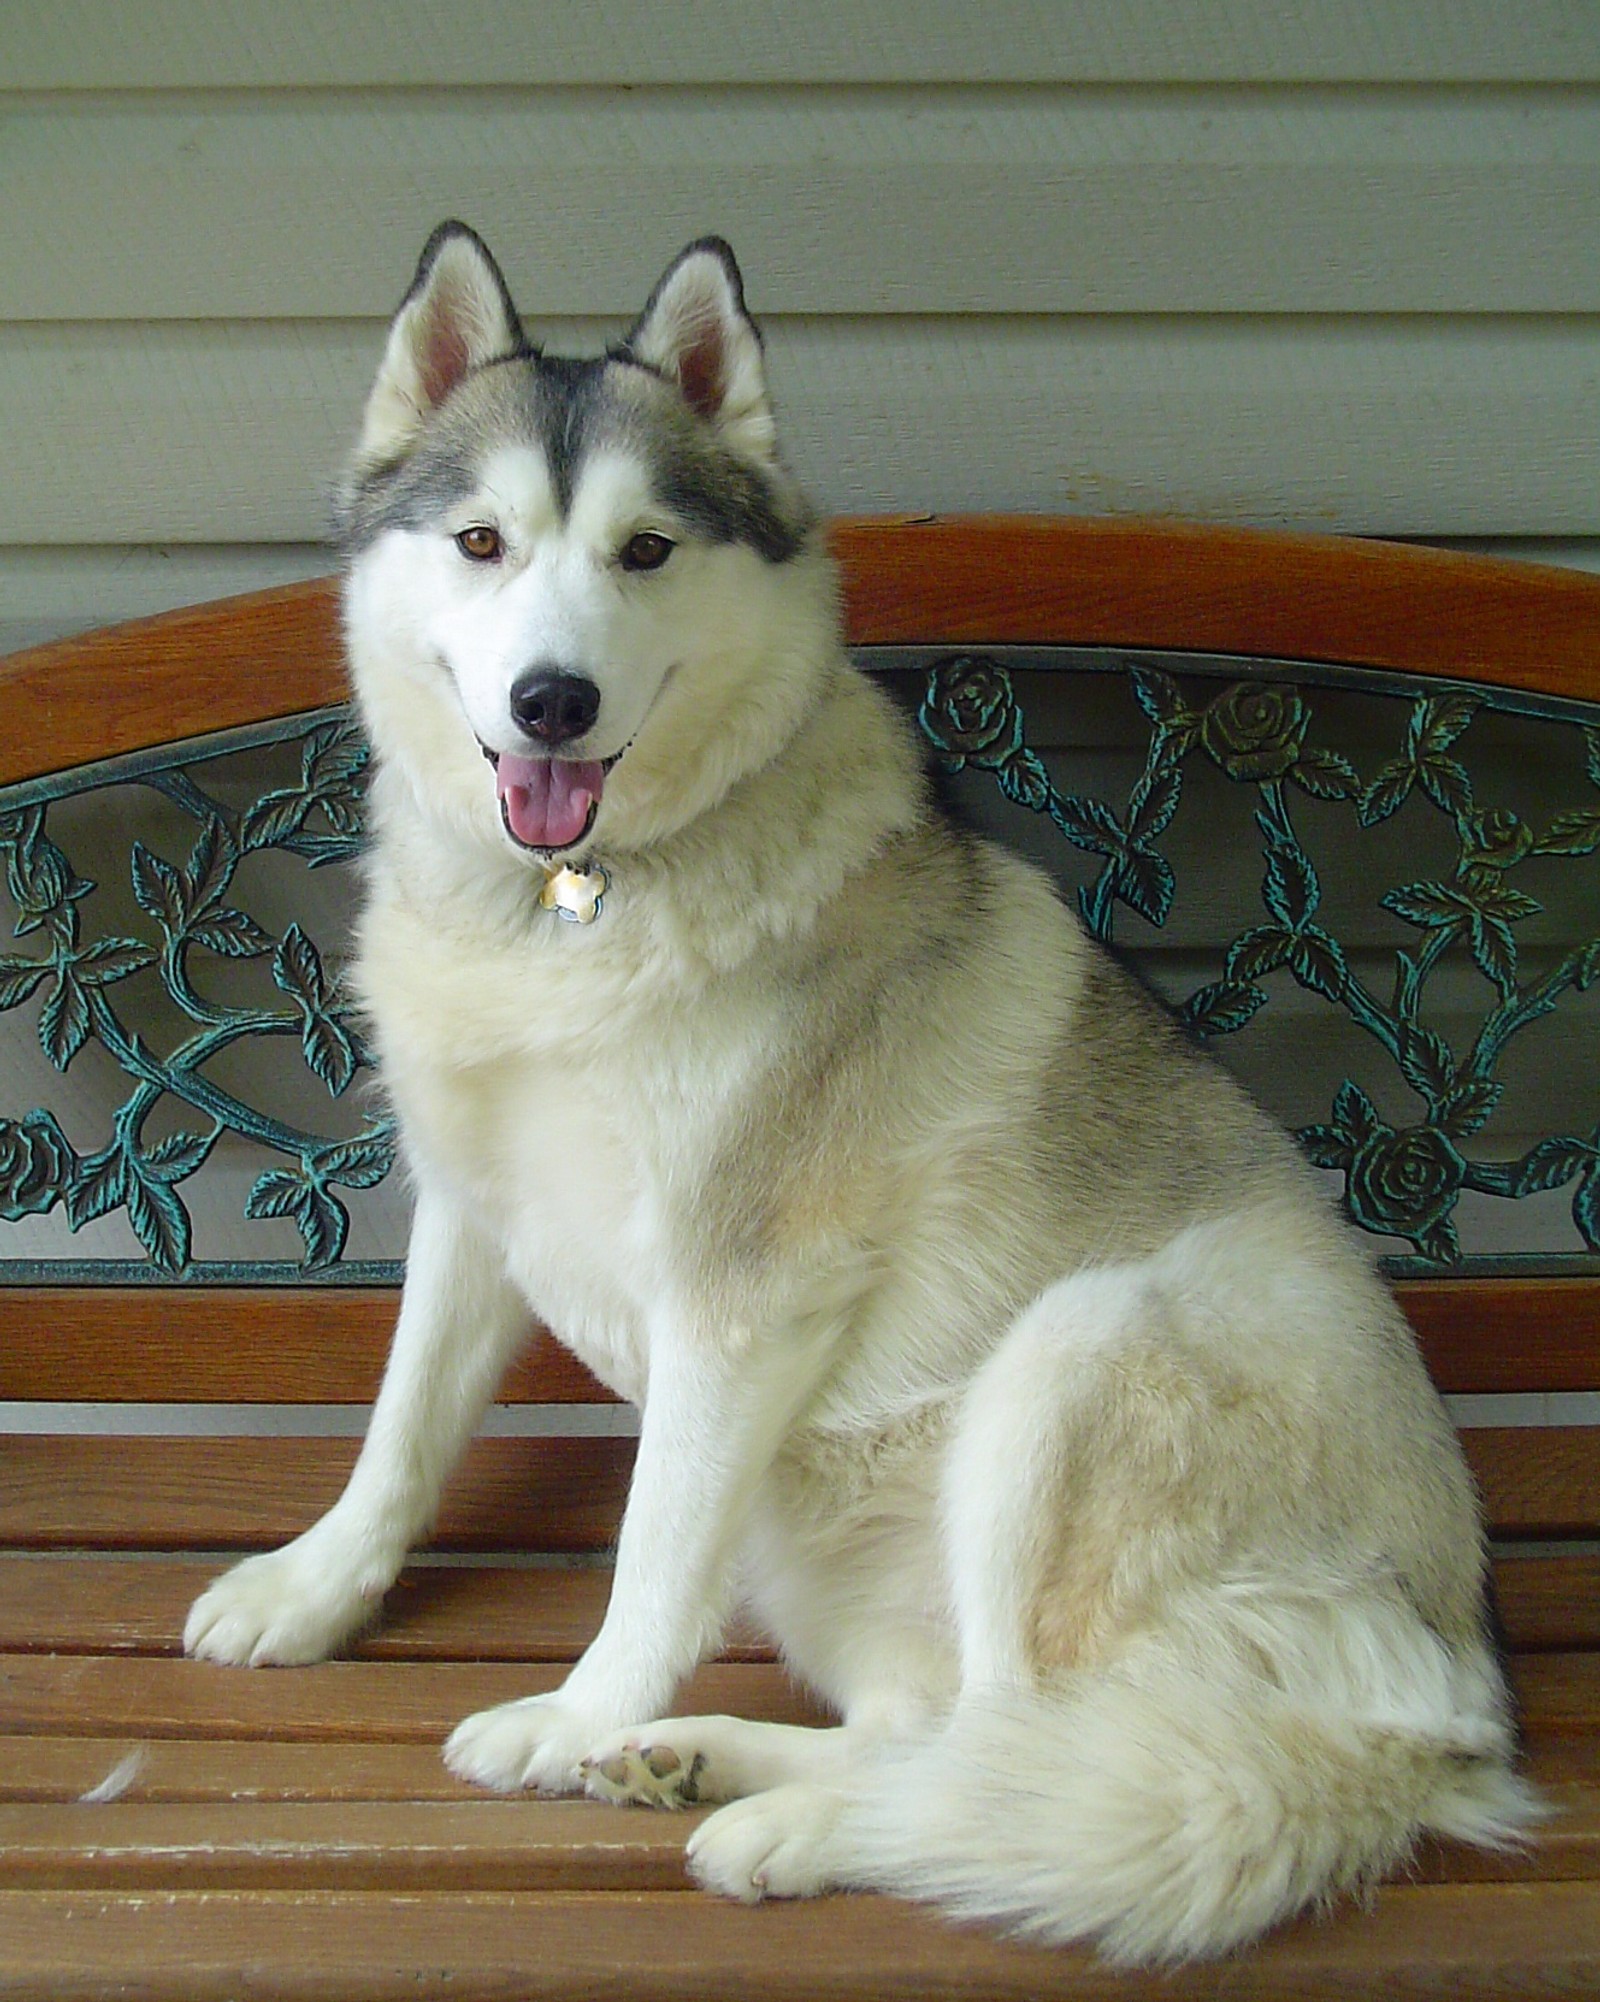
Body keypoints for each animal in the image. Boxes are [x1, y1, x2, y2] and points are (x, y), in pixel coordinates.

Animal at [188, 227, 1537, 1961]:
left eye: (644, 550)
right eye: (482, 541)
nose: (554, 701)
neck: (563, 909)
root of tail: (1448, 1715)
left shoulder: (736, 1295)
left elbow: (648, 1549)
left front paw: (575, 1716)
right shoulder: (474, 1205)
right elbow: (401, 1431)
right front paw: (316, 1589)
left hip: (1076, 1351)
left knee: (1016, 1753)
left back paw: (779, 1814)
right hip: (837, 1549)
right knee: (945, 1733)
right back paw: (705, 1762)